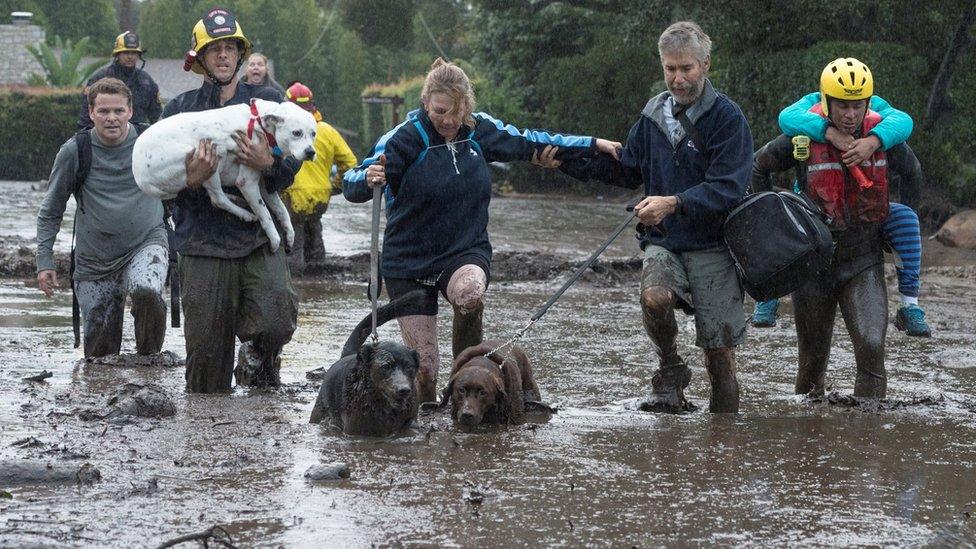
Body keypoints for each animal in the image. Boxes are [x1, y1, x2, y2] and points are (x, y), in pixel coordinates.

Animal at [132, 98, 316, 250]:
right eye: (297, 133)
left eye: (313, 133)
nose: (311, 152)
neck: (260, 124)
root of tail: (139, 175)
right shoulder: (247, 183)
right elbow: (265, 214)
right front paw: (275, 237)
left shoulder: (265, 185)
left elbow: (281, 210)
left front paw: (289, 233)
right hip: (209, 156)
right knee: (217, 199)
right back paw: (245, 214)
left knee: (213, 196)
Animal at [306, 292, 426, 436]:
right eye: (386, 366)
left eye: (409, 367)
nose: (404, 390)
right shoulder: (354, 431)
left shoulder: (409, 420)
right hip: (319, 410)